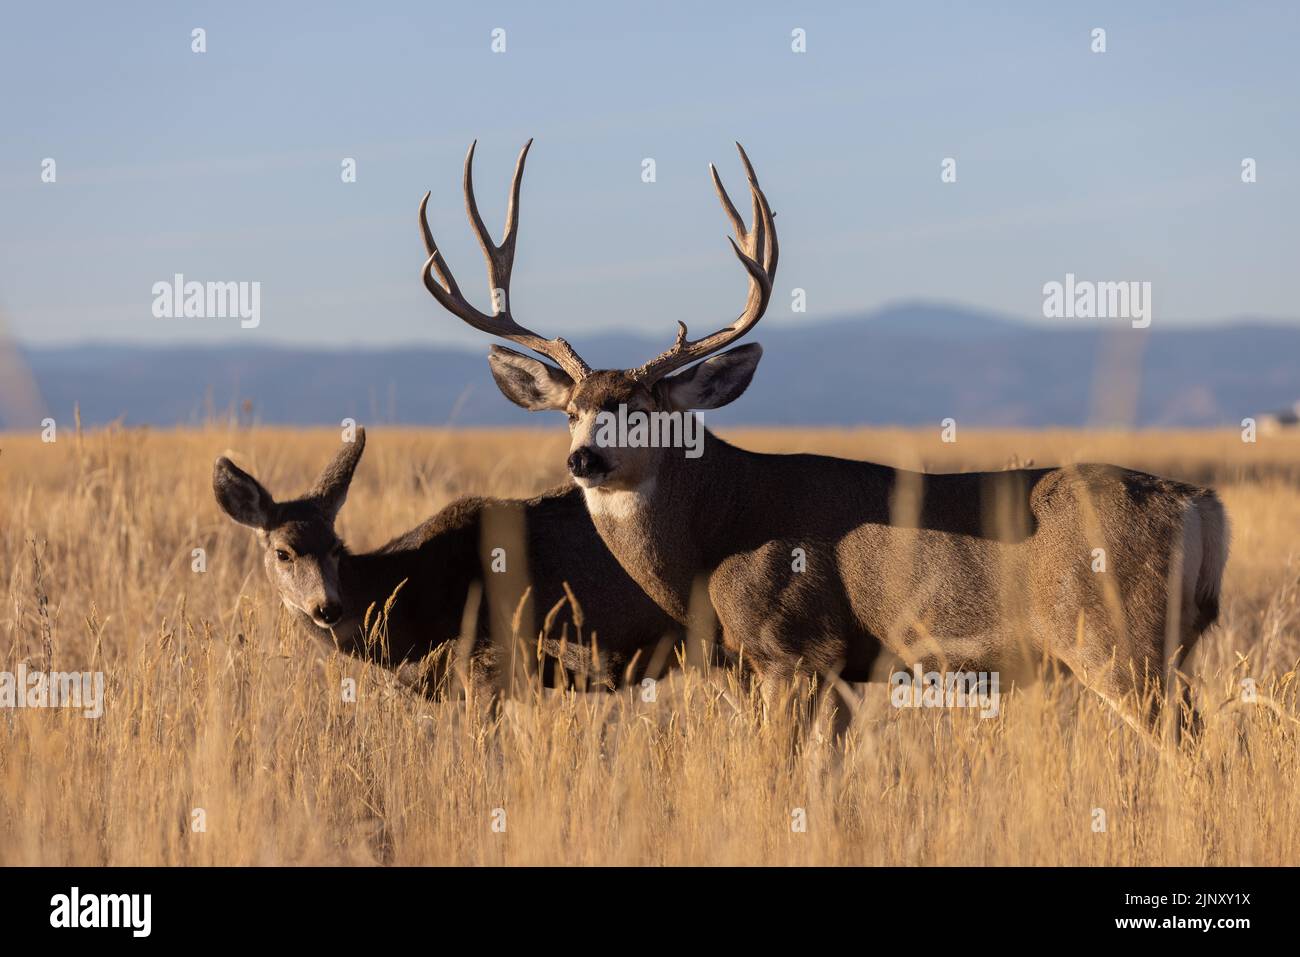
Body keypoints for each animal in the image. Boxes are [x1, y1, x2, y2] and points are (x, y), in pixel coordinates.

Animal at [417, 140, 1230, 742]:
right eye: (570, 411)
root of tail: (1203, 504)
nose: (584, 459)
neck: (715, 533)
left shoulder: (796, 646)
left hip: (1120, 642)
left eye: (646, 410)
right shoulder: (832, 669)